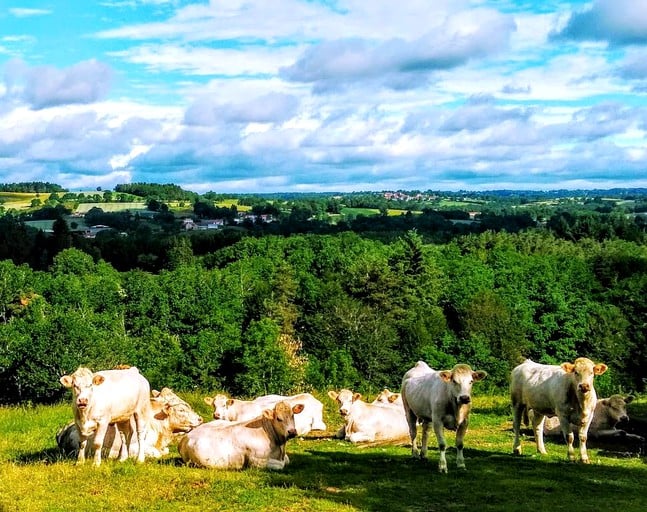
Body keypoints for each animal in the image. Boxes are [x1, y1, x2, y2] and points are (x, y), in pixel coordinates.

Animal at [58, 388, 205, 460]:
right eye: (181, 410)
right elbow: (156, 453)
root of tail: (63, 430)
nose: (200, 419)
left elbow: (165, 451)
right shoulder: (135, 446)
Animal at [178, 402, 306, 470]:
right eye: (279, 418)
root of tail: (185, 437)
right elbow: (282, 465)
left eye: (293, 415)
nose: (292, 431)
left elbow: (287, 460)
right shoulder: (256, 462)